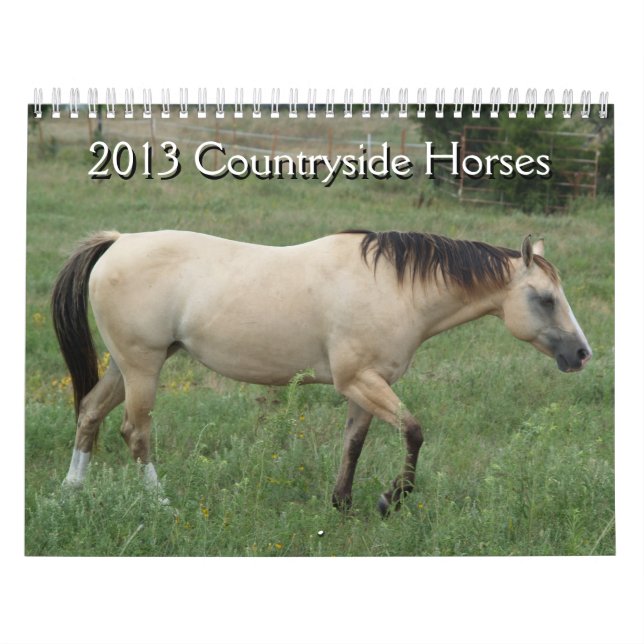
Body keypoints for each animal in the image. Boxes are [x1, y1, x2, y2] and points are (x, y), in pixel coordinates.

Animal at [51, 229, 592, 515]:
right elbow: (414, 431)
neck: (393, 287)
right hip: (142, 366)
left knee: (90, 413)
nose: (582, 354)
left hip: (129, 366)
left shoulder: (365, 388)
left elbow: (354, 443)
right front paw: (391, 499)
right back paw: (161, 502)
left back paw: (71, 491)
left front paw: (343, 503)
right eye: (545, 299)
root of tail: (117, 242)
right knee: (135, 431)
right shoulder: (361, 381)